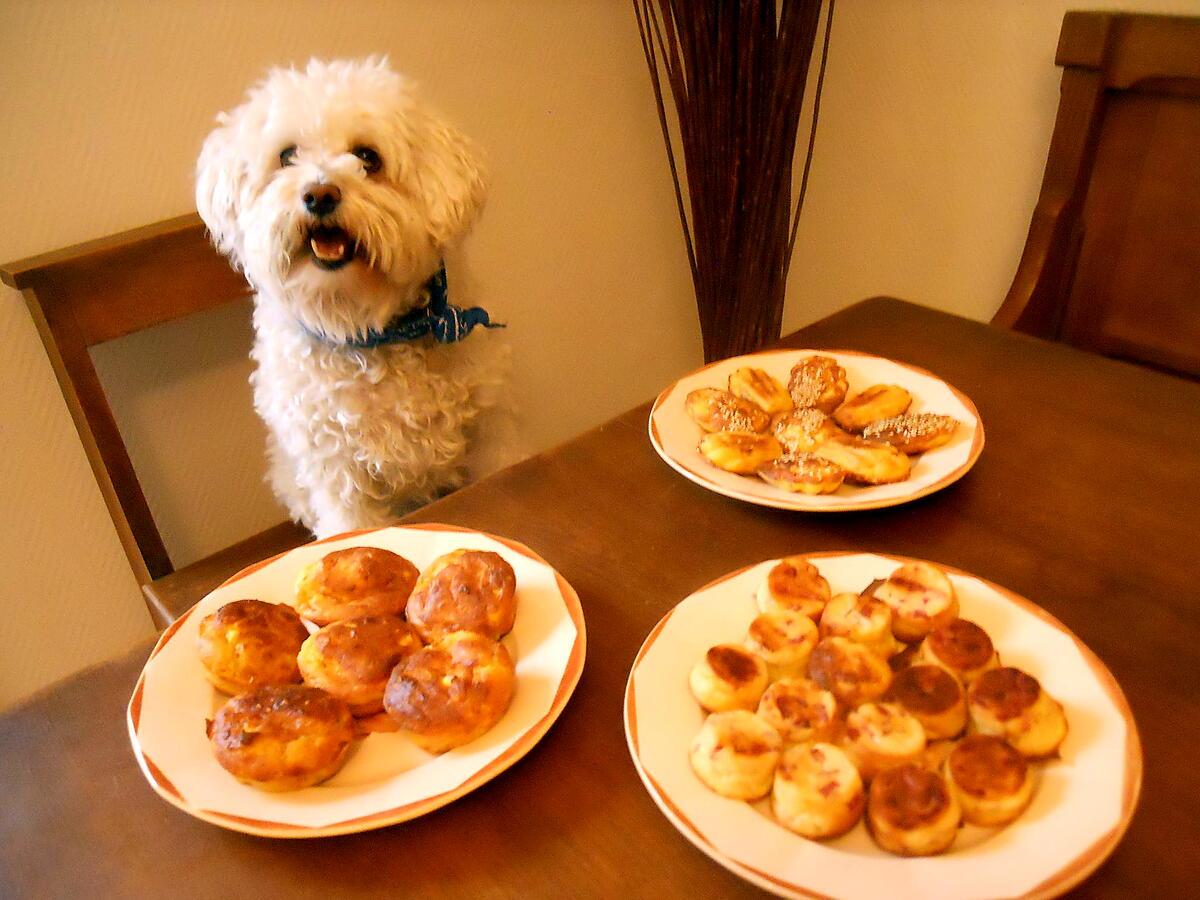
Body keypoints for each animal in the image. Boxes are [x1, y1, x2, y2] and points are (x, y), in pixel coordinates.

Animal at [195, 60, 511, 540]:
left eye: (367, 157)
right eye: (286, 156)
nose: (319, 194)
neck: (366, 327)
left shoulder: (489, 432)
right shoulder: (337, 470)